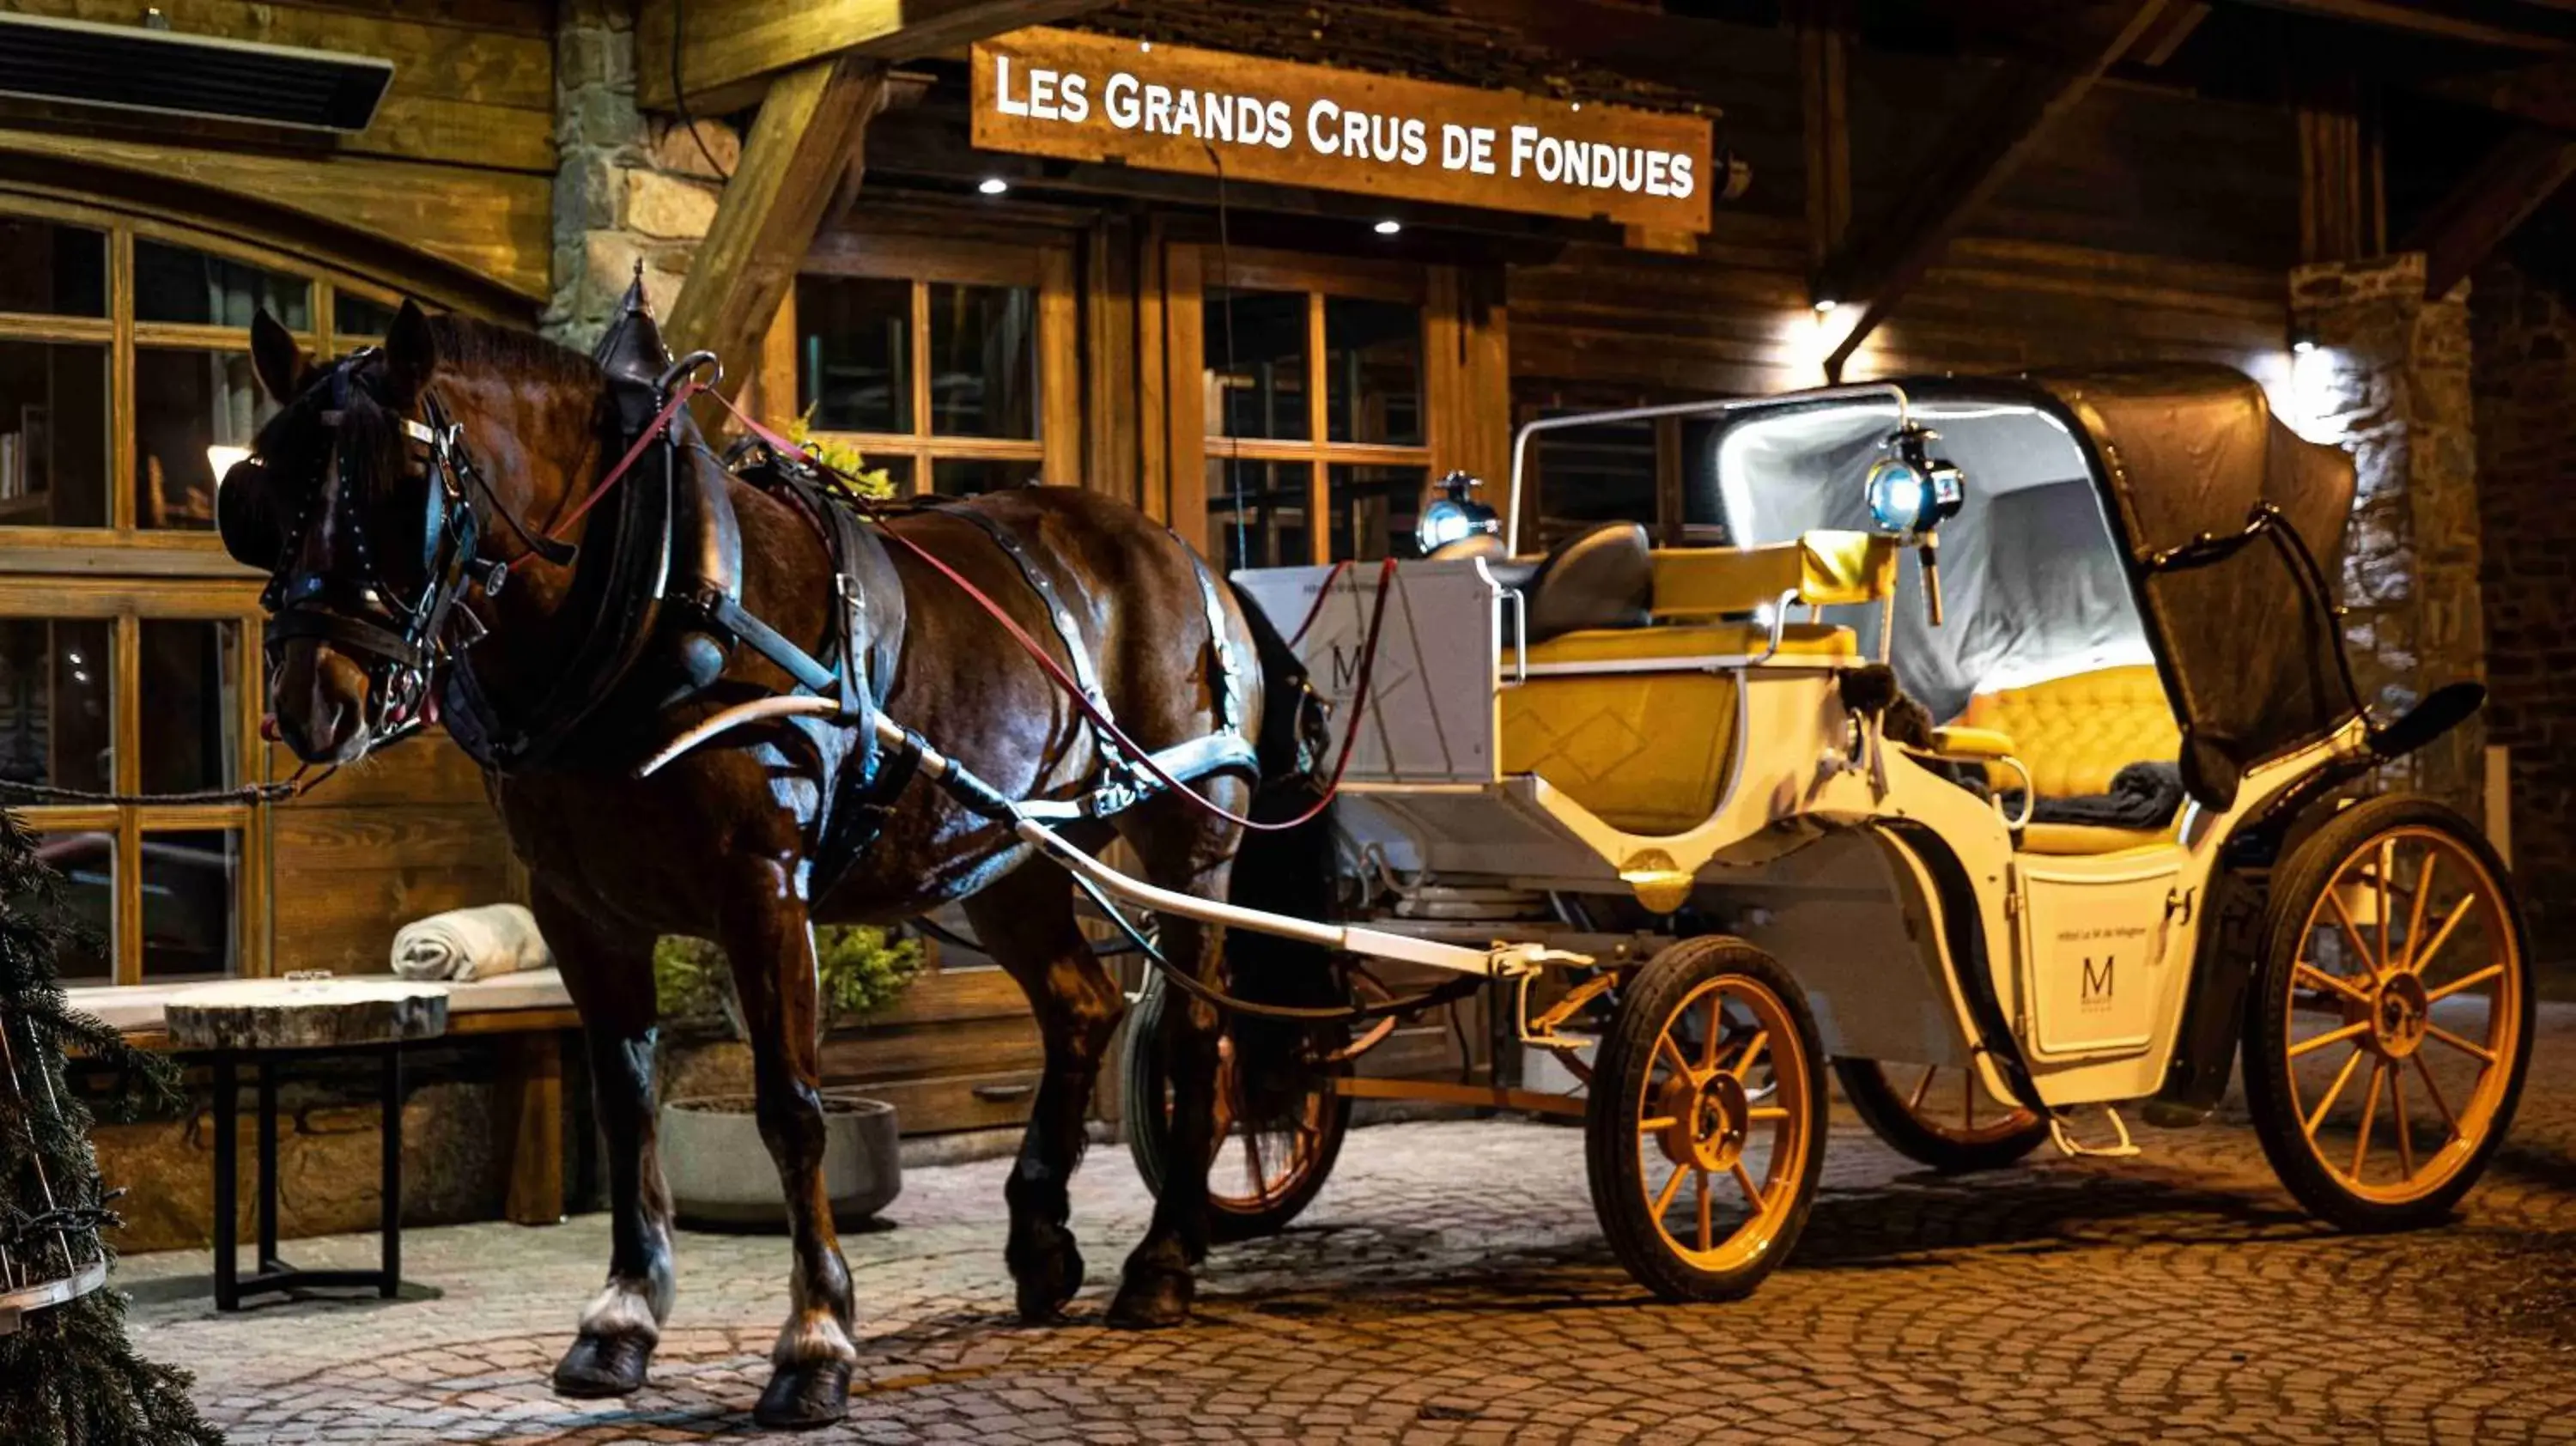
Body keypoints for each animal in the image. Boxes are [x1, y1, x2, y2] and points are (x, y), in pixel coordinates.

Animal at [234, 299, 1329, 1422]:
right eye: (262, 490)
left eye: (404, 483)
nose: (312, 703)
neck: (646, 595)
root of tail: (1184, 552)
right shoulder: (582, 909)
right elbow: (626, 1104)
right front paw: (621, 1320)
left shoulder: (763, 889)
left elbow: (793, 1108)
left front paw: (815, 1341)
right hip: (1010, 856)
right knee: (1082, 1007)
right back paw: (1039, 1243)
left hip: (1190, 845)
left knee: (1194, 1032)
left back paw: (1163, 1261)